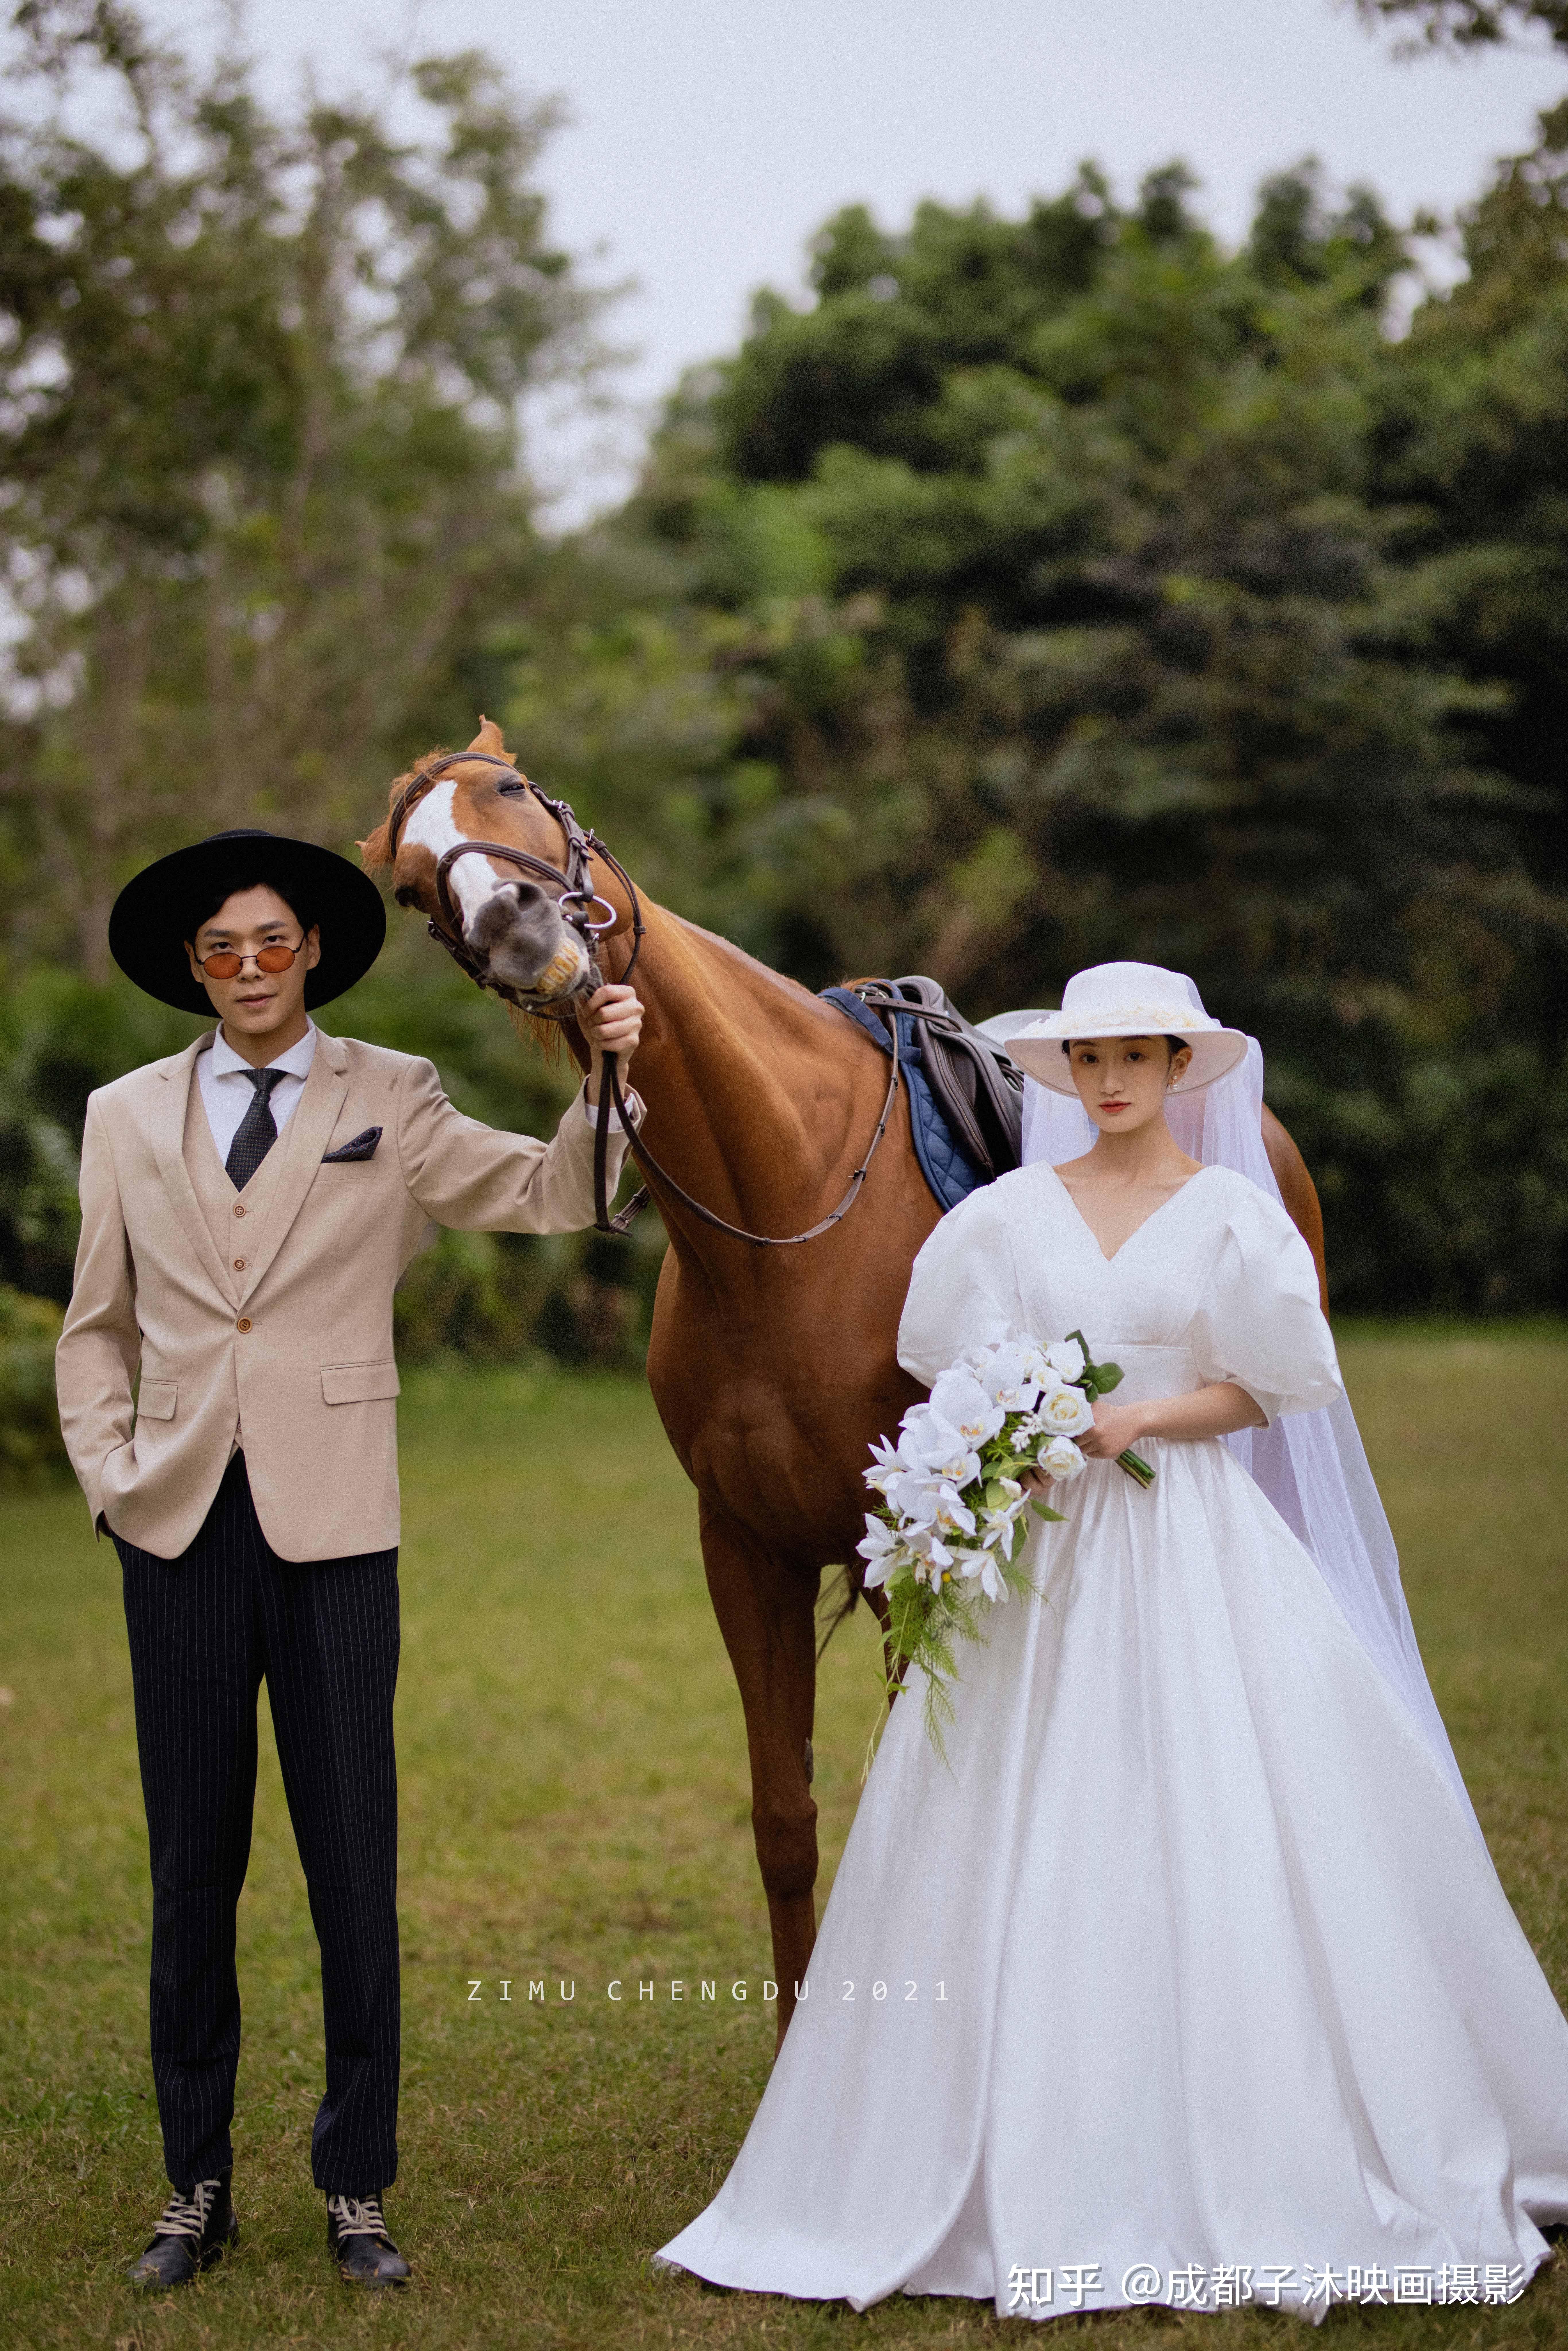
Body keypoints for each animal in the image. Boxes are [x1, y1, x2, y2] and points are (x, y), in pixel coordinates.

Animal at [361, 720, 1329, 2046]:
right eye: (412, 889)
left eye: (511, 788)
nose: (514, 921)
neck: (787, 1210)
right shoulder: (746, 1549)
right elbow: (785, 1818)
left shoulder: (913, 1541)